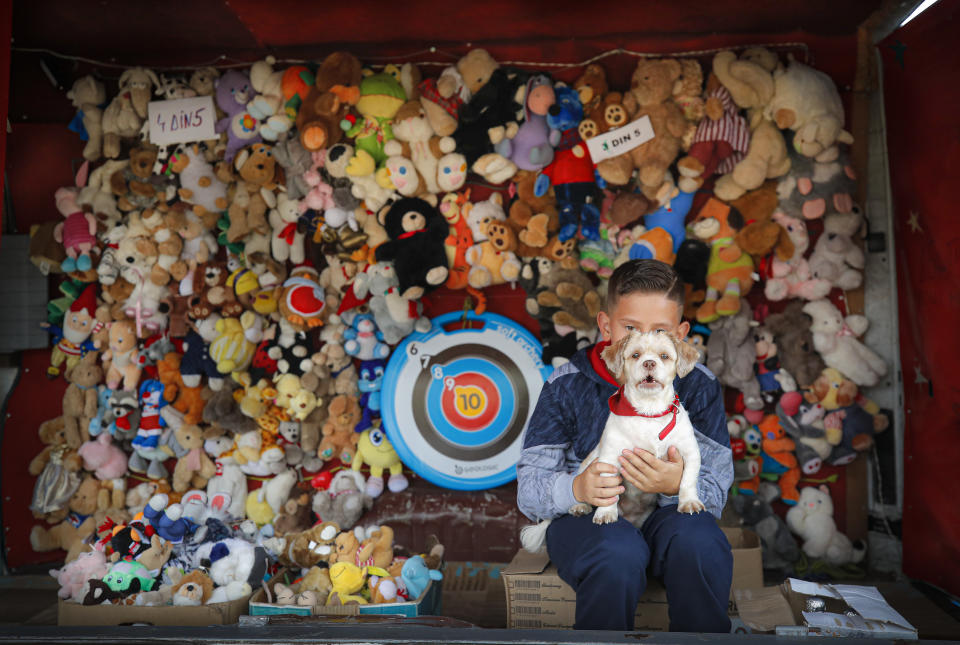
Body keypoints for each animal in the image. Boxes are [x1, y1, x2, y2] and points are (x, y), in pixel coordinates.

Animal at [524, 330, 704, 552]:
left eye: (664, 356)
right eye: (635, 355)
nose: (649, 363)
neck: (648, 412)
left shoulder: (690, 453)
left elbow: (687, 481)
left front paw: (689, 502)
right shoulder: (609, 459)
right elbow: (606, 491)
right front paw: (605, 513)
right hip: (589, 463)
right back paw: (580, 506)